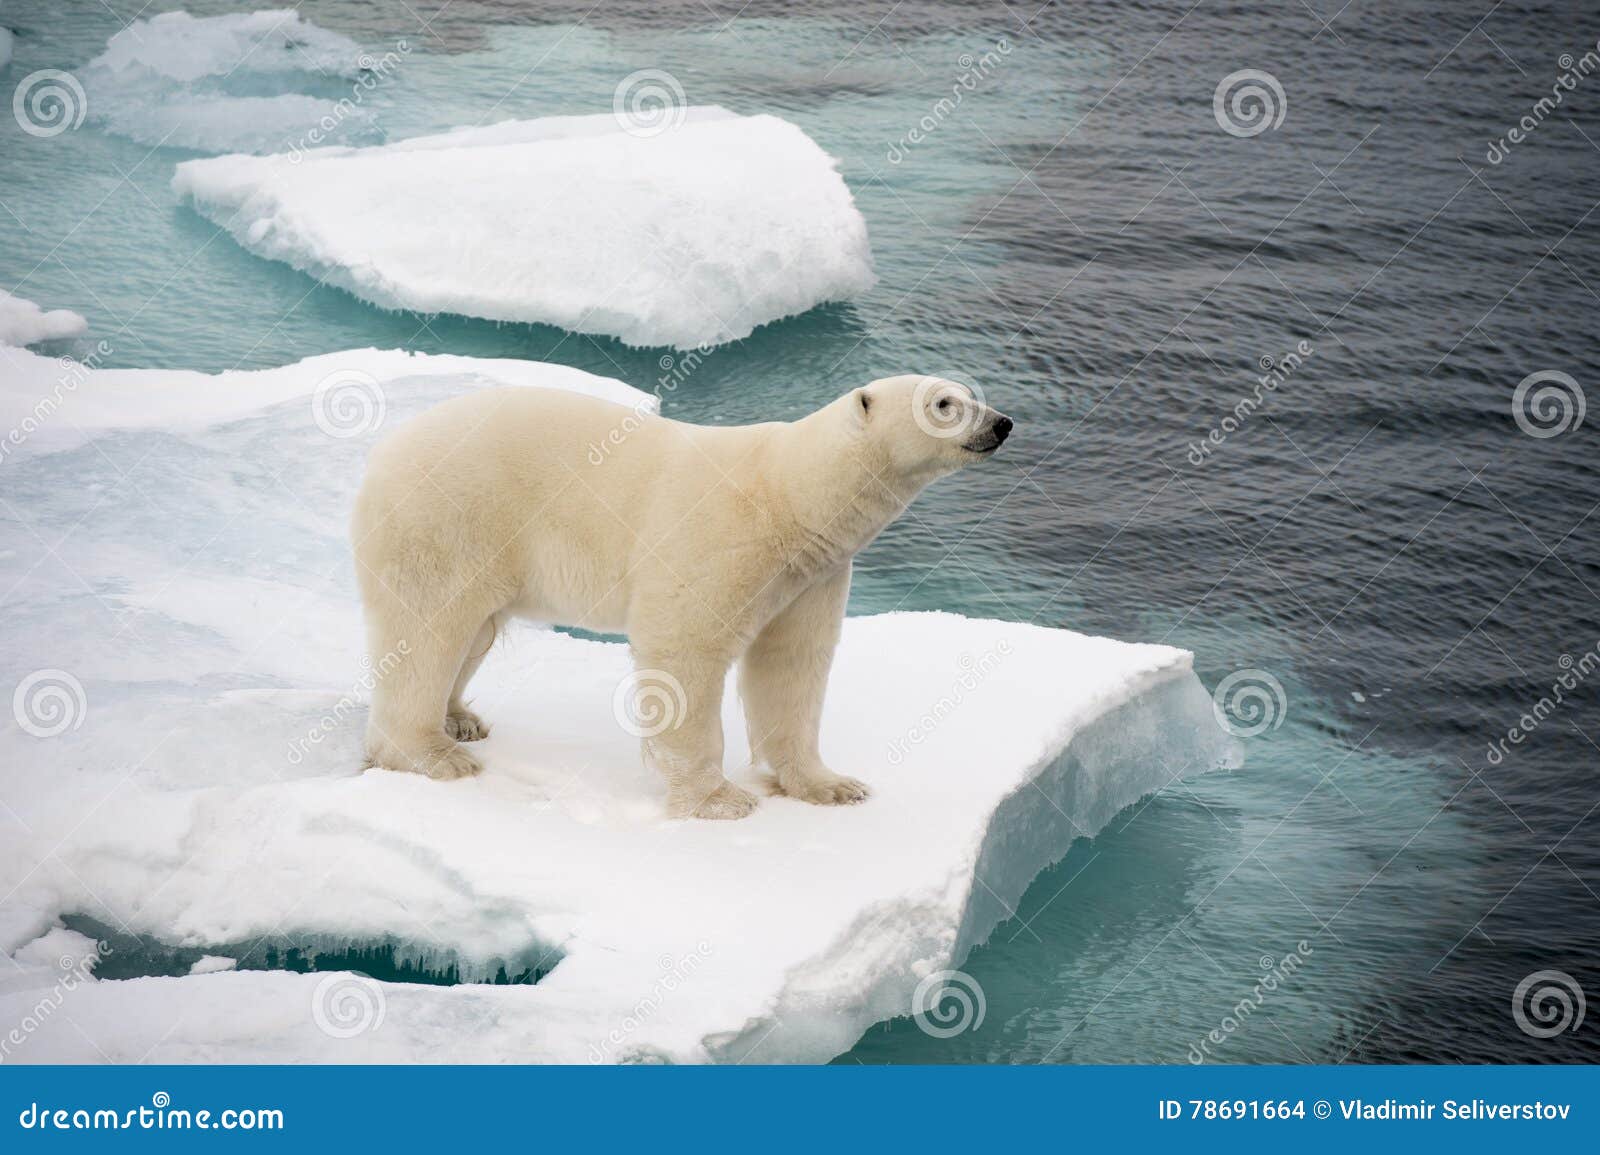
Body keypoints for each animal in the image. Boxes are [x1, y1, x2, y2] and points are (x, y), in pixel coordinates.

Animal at [350, 374, 1013, 819]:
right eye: (943, 404)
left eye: (967, 390)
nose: (1002, 423)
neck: (789, 496)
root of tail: (382, 453)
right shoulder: (722, 538)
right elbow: (684, 651)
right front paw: (720, 799)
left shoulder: (812, 574)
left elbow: (793, 665)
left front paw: (830, 785)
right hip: (446, 519)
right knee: (428, 629)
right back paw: (431, 754)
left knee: (472, 633)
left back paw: (461, 719)